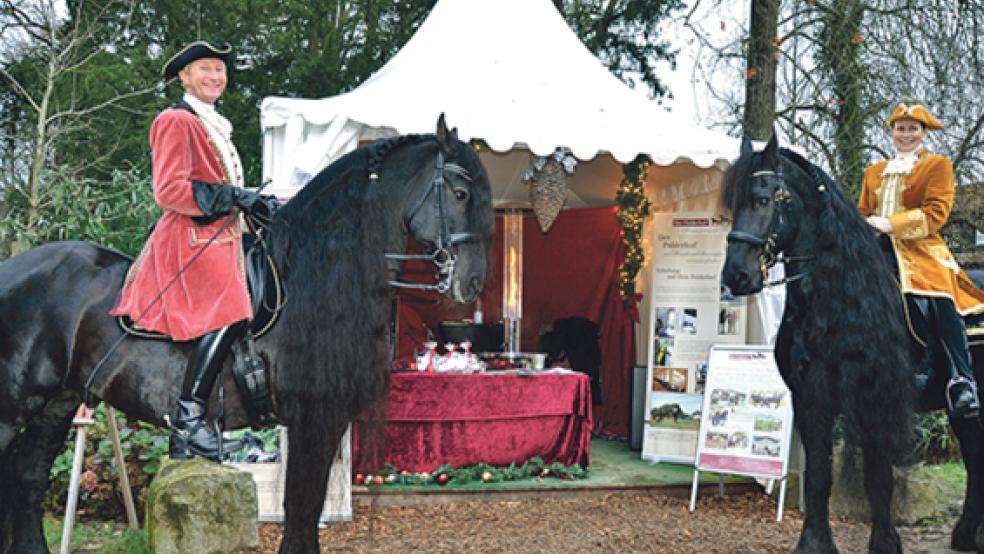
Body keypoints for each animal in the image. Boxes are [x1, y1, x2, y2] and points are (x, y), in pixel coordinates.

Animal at [0, 114, 492, 548]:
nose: (472, 283)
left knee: (26, 481)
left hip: (56, 405)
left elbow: (304, 515)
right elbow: (300, 514)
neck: (314, 278)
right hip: (14, 408)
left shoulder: (327, 421)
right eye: (461, 192)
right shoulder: (314, 418)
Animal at [724, 135, 984, 552]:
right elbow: (819, 473)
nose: (737, 275)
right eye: (732, 203)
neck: (834, 302)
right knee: (975, 455)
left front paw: (885, 542)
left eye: (763, 199)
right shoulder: (811, 396)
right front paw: (814, 541)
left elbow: (878, 476)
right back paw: (967, 534)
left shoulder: (874, 397)